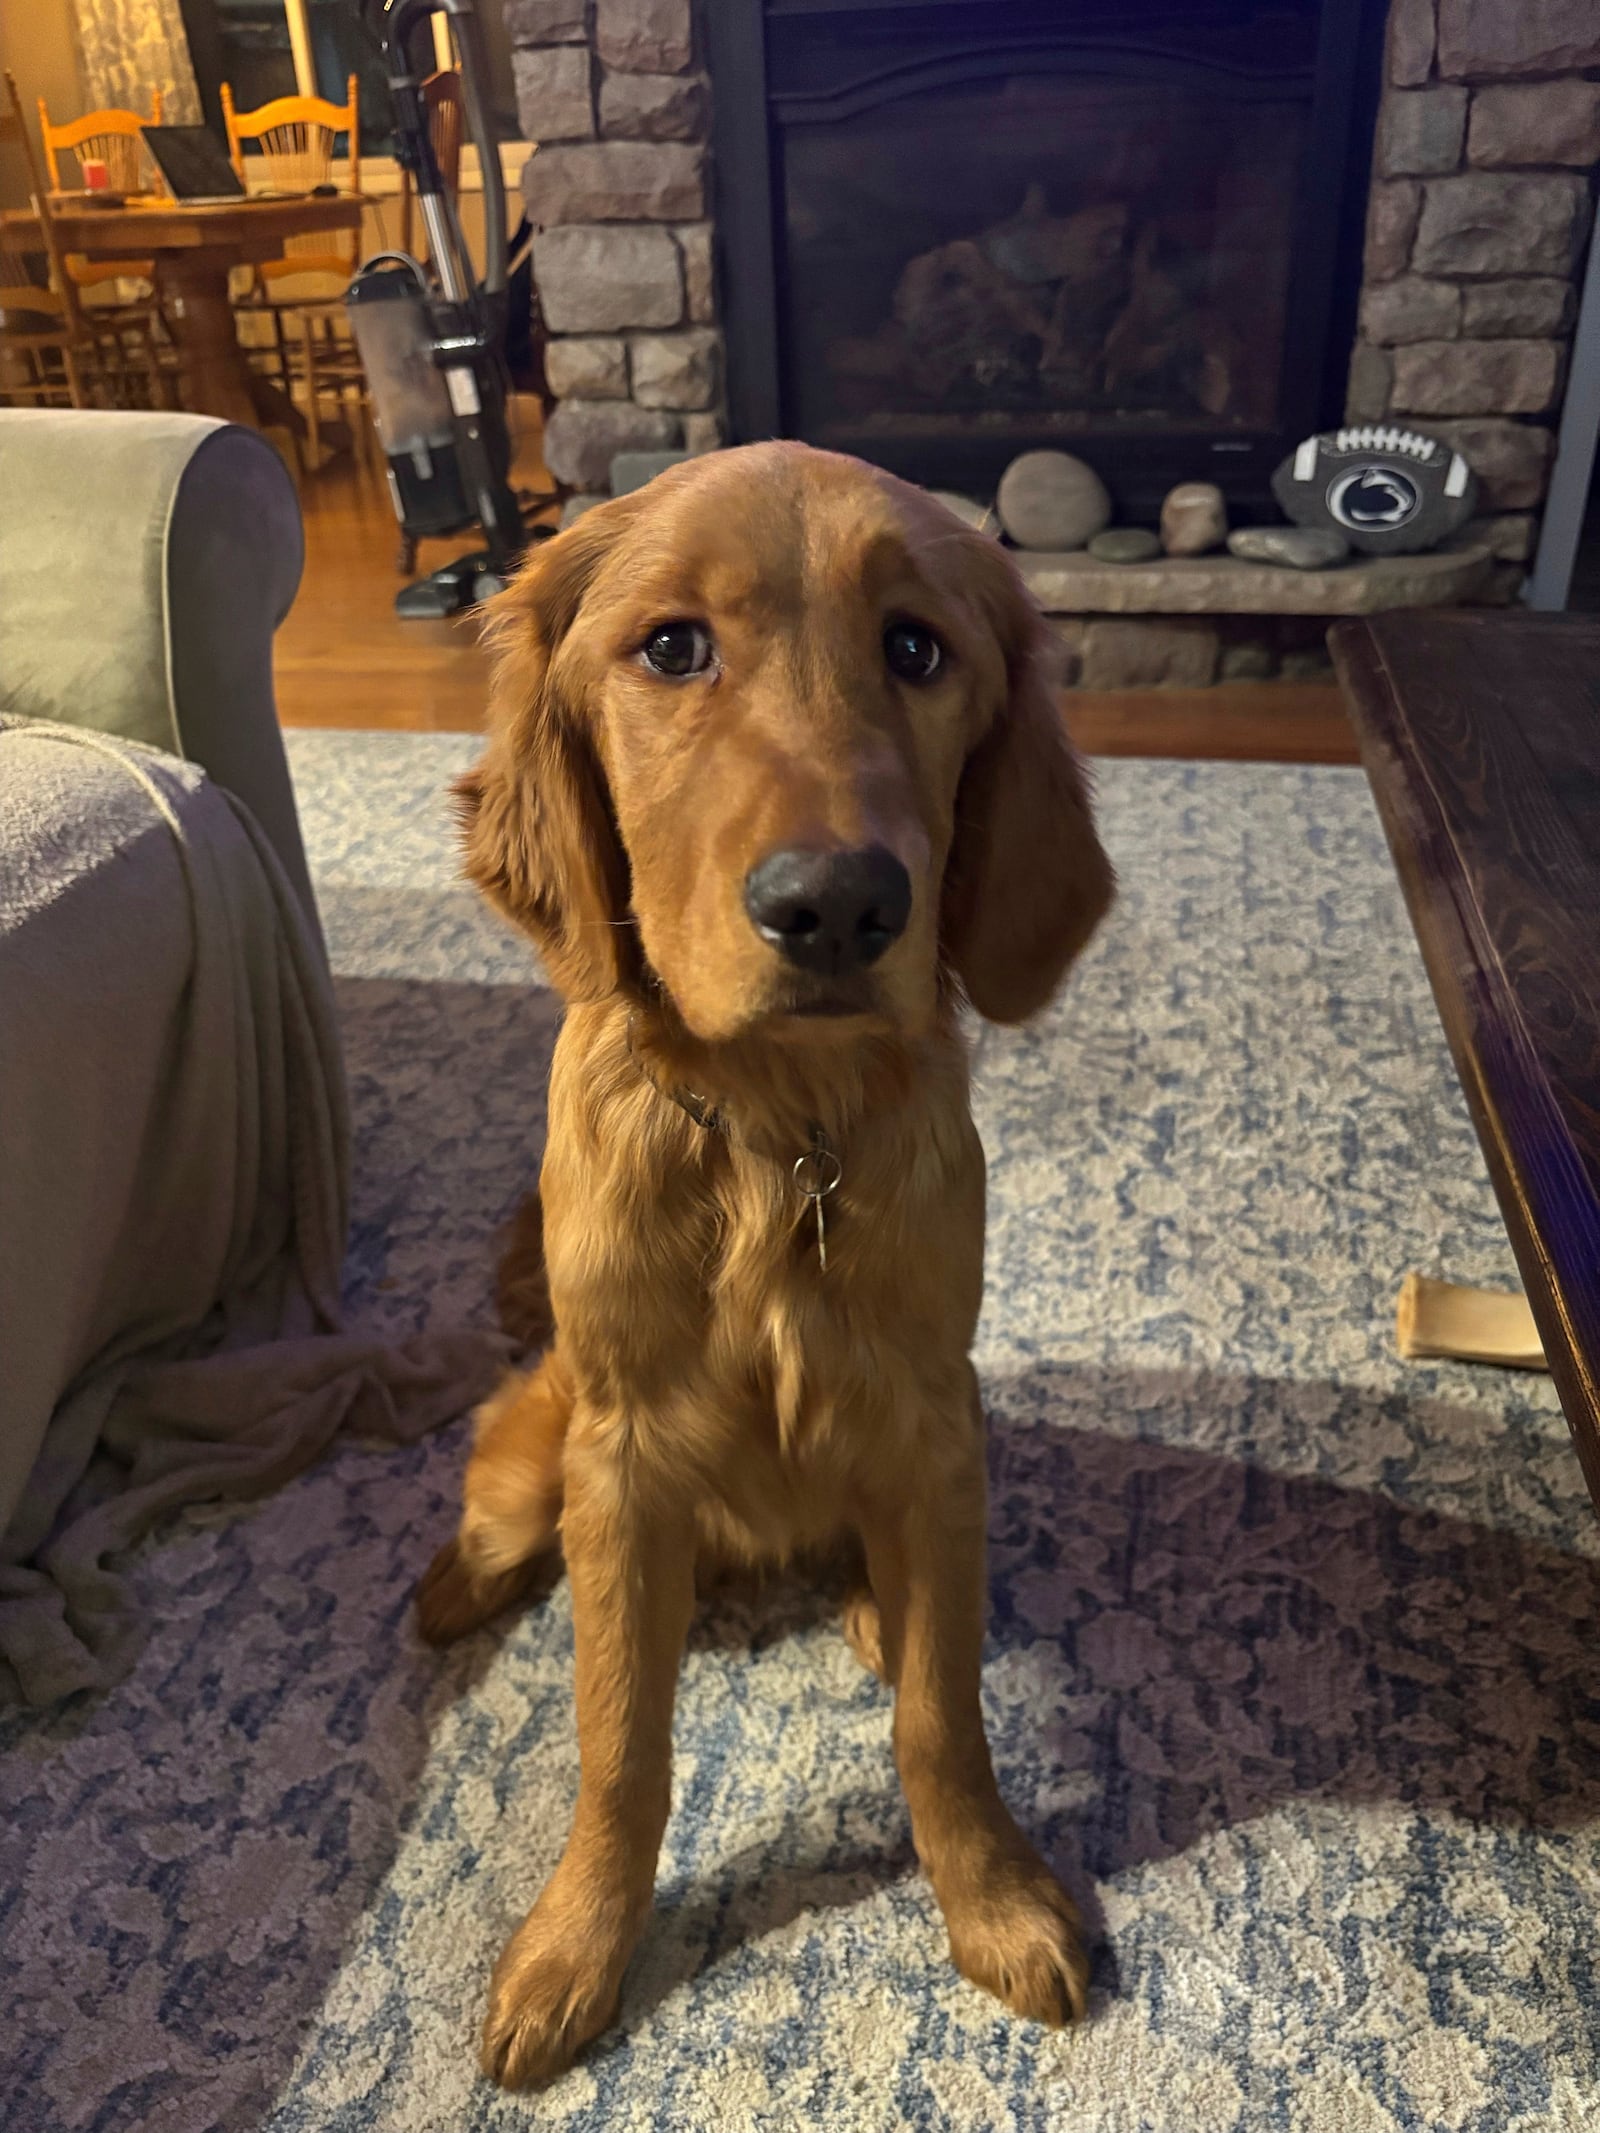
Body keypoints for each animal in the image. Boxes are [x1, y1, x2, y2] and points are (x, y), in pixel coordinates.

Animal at [416, 441, 1117, 2090]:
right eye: (672, 647)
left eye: (918, 649)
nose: (837, 906)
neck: (776, 1137)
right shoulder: (619, 1463)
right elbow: (620, 1740)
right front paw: (578, 1946)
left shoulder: (933, 1423)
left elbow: (943, 1713)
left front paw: (993, 1896)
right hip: (538, 1450)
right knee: (502, 1521)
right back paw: (450, 1595)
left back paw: (870, 1600)